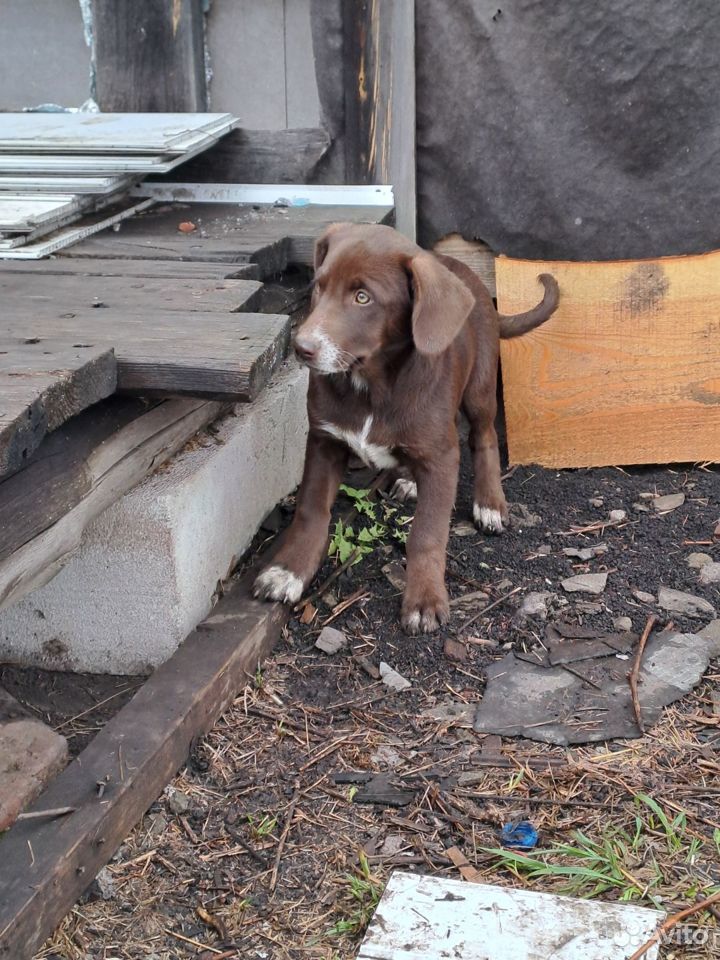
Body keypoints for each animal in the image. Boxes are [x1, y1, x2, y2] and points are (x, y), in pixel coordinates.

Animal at [256, 221, 560, 632]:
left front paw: (425, 598)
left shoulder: (441, 457)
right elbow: (310, 511)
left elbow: (427, 533)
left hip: (479, 387)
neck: (370, 383)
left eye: (363, 298)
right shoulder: (324, 440)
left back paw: (489, 502)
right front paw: (288, 571)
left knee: (483, 436)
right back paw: (411, 480)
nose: (302, 347)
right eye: (319, 286)